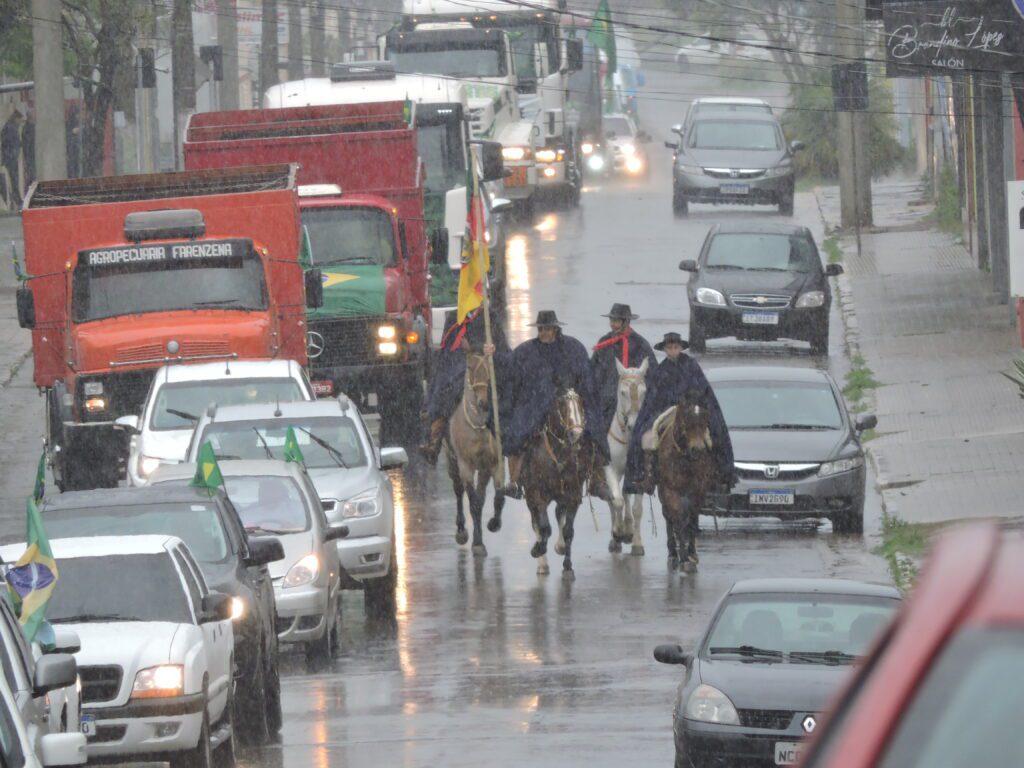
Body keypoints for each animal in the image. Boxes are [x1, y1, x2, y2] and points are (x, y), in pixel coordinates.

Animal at [446, 348, 505, 561]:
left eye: (491, 366)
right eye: (470, 367)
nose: (484, 403)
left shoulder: (494, 464)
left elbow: (498, 496)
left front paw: (494, 524)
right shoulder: (466, 466)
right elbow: (473, 504)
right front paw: (478, 544)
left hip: (484, 470)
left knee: (481, 496)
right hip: (451, 462)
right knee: (458, 491)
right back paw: (461, 531)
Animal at [524, 391, 589, 577]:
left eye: (580, 404)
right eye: (562, 406)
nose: (577, 434)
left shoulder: (573, 495)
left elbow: (568, 530)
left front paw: (567, 565)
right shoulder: (537, 495)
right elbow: (544, 527)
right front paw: (537, 550)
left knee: (559, 513)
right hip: (531, 497)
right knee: (536, 523)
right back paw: (542, 563)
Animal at [651, 397, 716, 573]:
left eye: (704, 421)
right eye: (686, 421)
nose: (698, 450)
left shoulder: (698, 492)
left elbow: (692, 518)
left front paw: (691, 554)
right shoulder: (671, 491)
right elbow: (679, 519)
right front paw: (683, 558)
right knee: (668, 517)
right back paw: (673, 554)